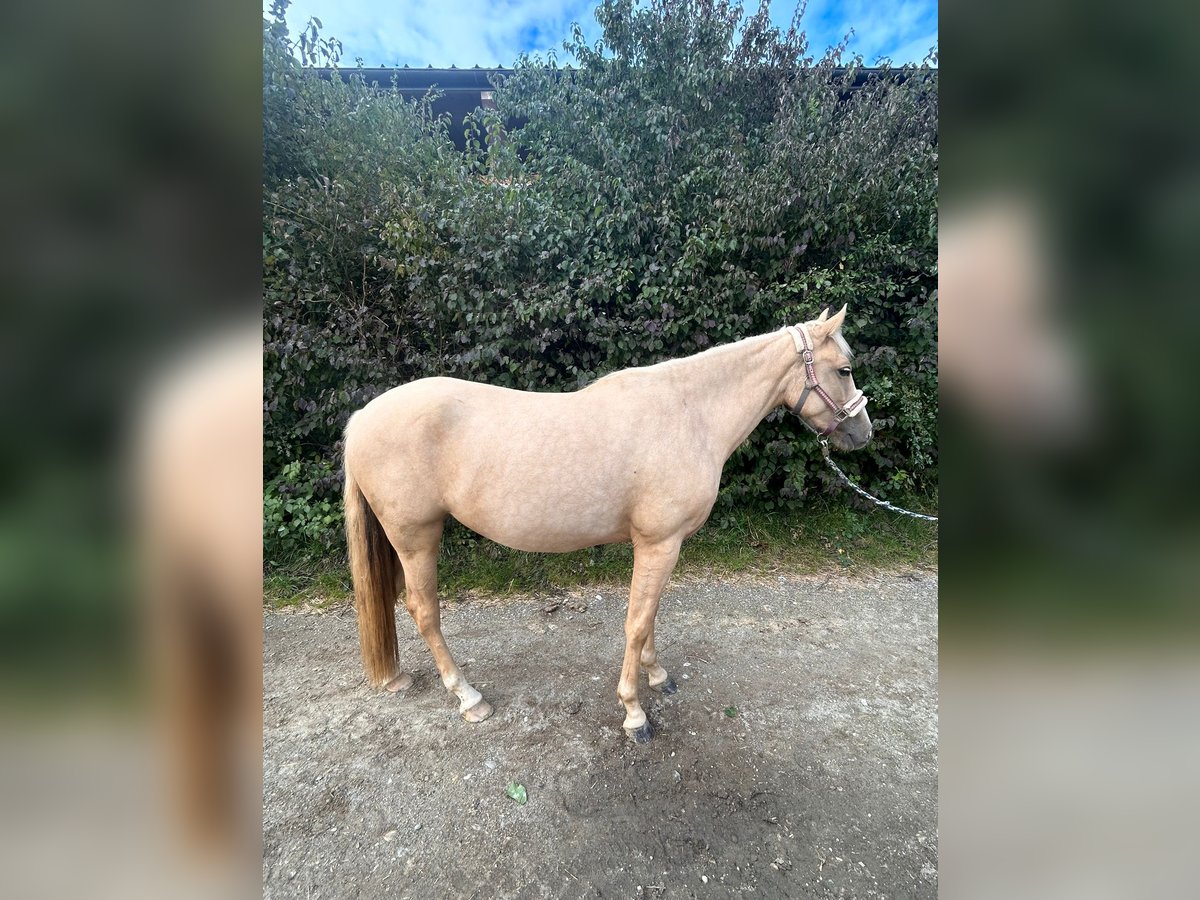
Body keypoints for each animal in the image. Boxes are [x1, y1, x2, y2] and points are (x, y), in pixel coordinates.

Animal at [343, 307, 868, 744]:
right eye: (843, 370)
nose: (863, 433)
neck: (688, 413)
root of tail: (362, 417)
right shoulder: (659, 543)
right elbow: (636, 623)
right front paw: (634, 713)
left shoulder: (659, 546)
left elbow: (650, 616)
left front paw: (658, 677)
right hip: (417, 538)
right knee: (424, 611)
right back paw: (469, 697)